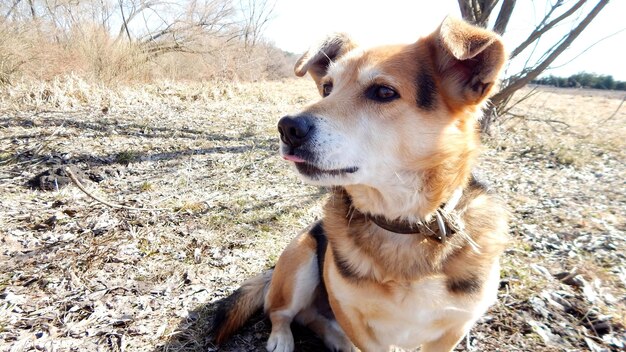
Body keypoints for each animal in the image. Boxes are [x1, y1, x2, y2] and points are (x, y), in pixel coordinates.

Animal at [210, 17, 508, 352]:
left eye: (384, 92)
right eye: (327, 88)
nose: (287, 128)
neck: (403, 224)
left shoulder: (453, 328)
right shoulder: (353, 314)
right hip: (300, 258)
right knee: (280, 312)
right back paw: (282, 339)